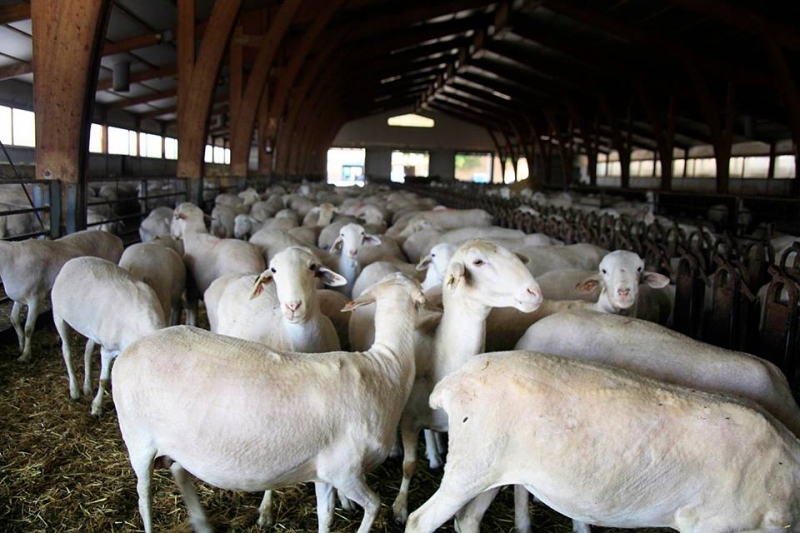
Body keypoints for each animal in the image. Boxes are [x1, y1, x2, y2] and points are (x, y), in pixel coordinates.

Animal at [0, 229, 123, 362]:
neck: (12, 260)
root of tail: (116, 238)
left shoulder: (35, 298)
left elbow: (28, 328)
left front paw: (26, 355)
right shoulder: (20, 298)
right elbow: (14, 319)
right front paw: (21, 347)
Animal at [50, 256, 166, 416]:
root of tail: (74, 260)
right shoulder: (107, 349)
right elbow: (104, 379)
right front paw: (96, 408)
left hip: (93, 328)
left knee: (87, 351)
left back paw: (87, 387)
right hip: (58, 315)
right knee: (66, 351)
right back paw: (74, 390)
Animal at [111, 274, 432, 532]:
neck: (386, 367)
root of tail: (129, 351)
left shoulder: (324, 473)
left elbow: (326, 515)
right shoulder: (346, 471)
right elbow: (374, 506)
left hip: (179, 445)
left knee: (178, 470)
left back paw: (201, 522)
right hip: (138, 440)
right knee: (144, 496)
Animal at [406, 350, 800, 532]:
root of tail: (452, 383)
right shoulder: (708, 523)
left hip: (490, 470)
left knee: (467, 520)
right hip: (468, 468)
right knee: (420, 520)